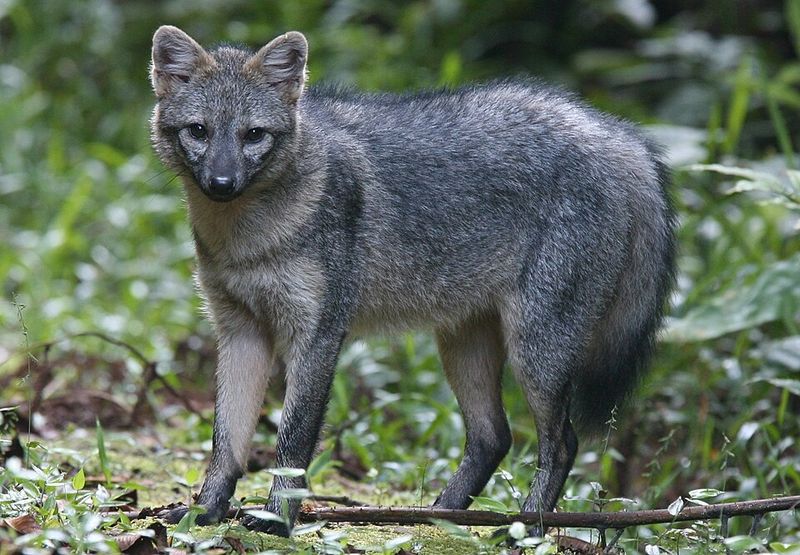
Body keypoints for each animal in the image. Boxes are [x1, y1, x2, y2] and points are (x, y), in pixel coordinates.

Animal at [150, 25, 675, 536]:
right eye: (199, 131)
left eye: (253, 135)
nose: (221, 183)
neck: (249, 240)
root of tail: (614, 132)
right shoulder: (240, 331)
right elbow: (226, 441)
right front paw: (206, 512)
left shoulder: (317, 334)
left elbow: (293, 441)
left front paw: (277, 521)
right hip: (465, 347)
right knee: (493, 437)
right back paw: (444, 515)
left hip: (535, 352)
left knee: (562, 442)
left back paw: (524, 528)